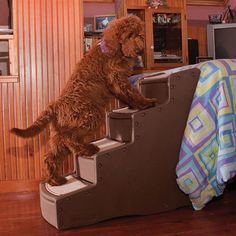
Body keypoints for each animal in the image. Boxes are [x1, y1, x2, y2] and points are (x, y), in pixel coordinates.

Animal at [10, 16, 156, 186]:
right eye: (129, 36)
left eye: (139, 35)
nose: (140, 51)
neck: (114, 50)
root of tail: (55, 105)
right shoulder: (117, 78)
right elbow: (131, 92)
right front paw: (145, 102)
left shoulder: (117, 82)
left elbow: (127, 95)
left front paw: (135, 105)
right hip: (89, 116)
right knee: (69, 139)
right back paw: (88, 149)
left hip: (62, 130)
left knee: (52, 154)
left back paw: (55, 179)